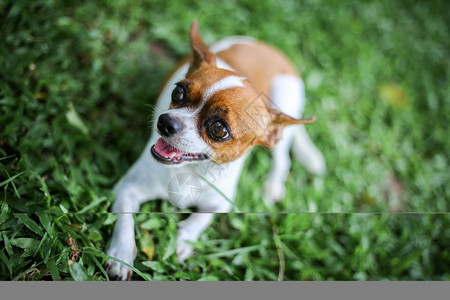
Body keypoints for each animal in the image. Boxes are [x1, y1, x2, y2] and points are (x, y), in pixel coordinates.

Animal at [105, 21, 324, 282]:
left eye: (219, 129)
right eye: (178, 92)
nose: (165, 122)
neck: (191, 171)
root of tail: (270, 49)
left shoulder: (220, 204)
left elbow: (201, 219)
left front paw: (181, 241)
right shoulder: (127, 189)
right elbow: (125, 220)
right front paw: (121, 255)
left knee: (282, 158)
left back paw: (272, 185)